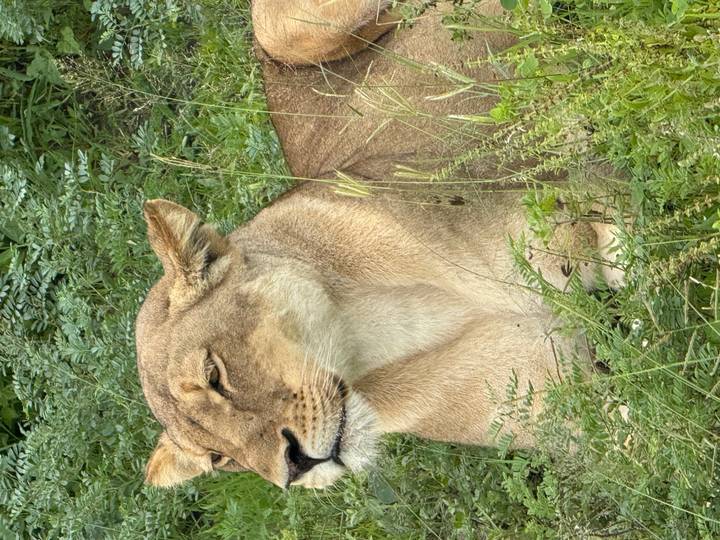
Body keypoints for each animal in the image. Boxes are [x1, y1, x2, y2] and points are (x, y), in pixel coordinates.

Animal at [136, 0, 624, 490]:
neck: (384, 342)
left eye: (214, 376)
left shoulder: (574, 189)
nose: (294, 468)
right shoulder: (573, 418)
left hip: (278, 31)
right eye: (218, 457)